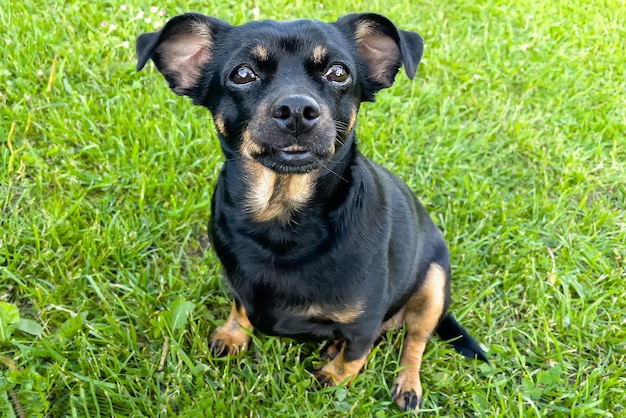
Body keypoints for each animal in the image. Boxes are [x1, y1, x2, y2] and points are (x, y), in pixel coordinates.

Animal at [136, 13, 488, 412]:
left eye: (338, 72)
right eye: (242, 74)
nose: (296, 112)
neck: (282, 220)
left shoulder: (365, 321)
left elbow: (357, 354)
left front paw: (335, 377)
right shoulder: (239, 282)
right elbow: (240, 306)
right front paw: (233, 334)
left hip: (433, 285)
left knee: (414, 341)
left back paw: (407, 384)